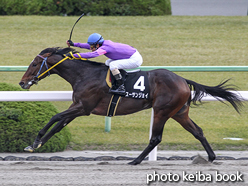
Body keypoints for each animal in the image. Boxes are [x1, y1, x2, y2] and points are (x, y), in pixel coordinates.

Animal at [18, 47, 242, 165]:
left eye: (34, 64)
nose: (22, 83)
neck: (85, 74)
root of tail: (183, 80)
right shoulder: (78, 106)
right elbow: (58, 125)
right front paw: (36, 144)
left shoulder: (84, 107)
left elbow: (55, 118)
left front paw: (35, 141)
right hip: (179, 113)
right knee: (198, 131)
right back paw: (211, 157)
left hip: (162, 110)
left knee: (156, 138)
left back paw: (135, 160)